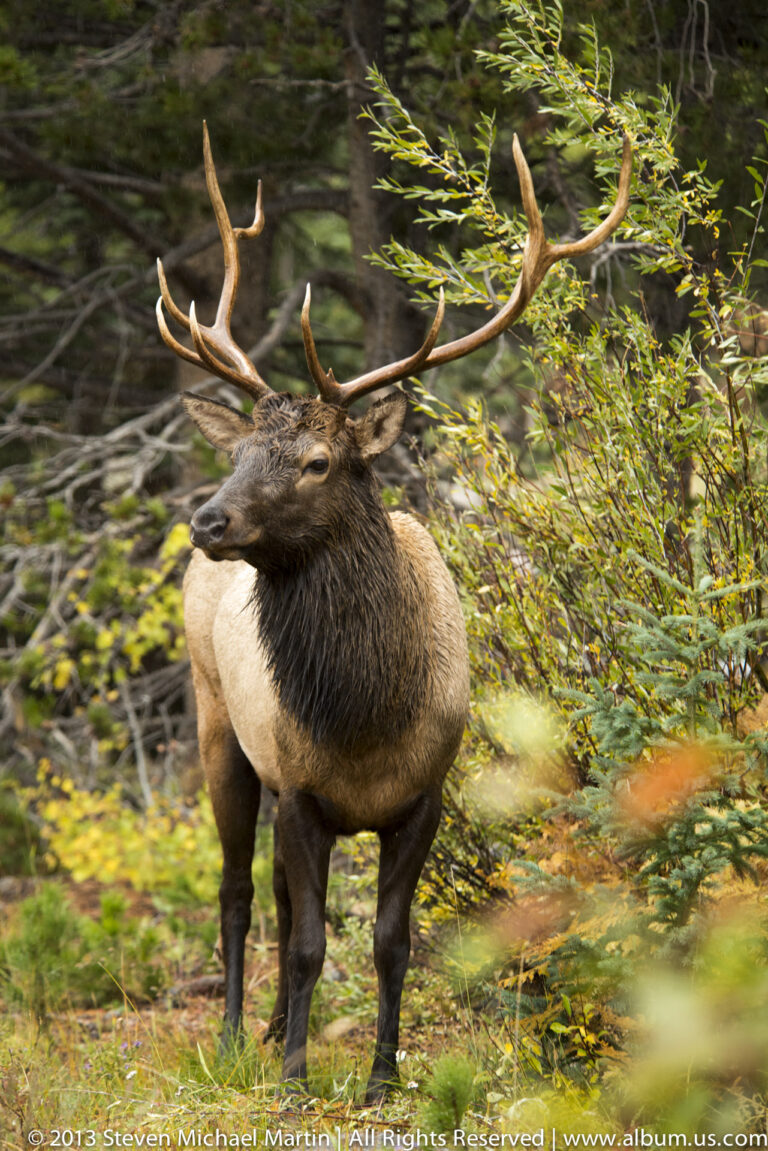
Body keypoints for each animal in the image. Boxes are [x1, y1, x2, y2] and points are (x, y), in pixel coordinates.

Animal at [156, 123, 632, 1102]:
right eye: (244, 449)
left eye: (316, 462)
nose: (209, 519)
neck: (366, 717)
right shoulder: (303, 789)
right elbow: (308, 943)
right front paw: (297, 1078)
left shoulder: (424, 796)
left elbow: (389, 942)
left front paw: (379, 1074)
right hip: (219, 721)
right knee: (238, 891)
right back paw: (233, 1034)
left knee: (270, 888)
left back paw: (268, 1028)